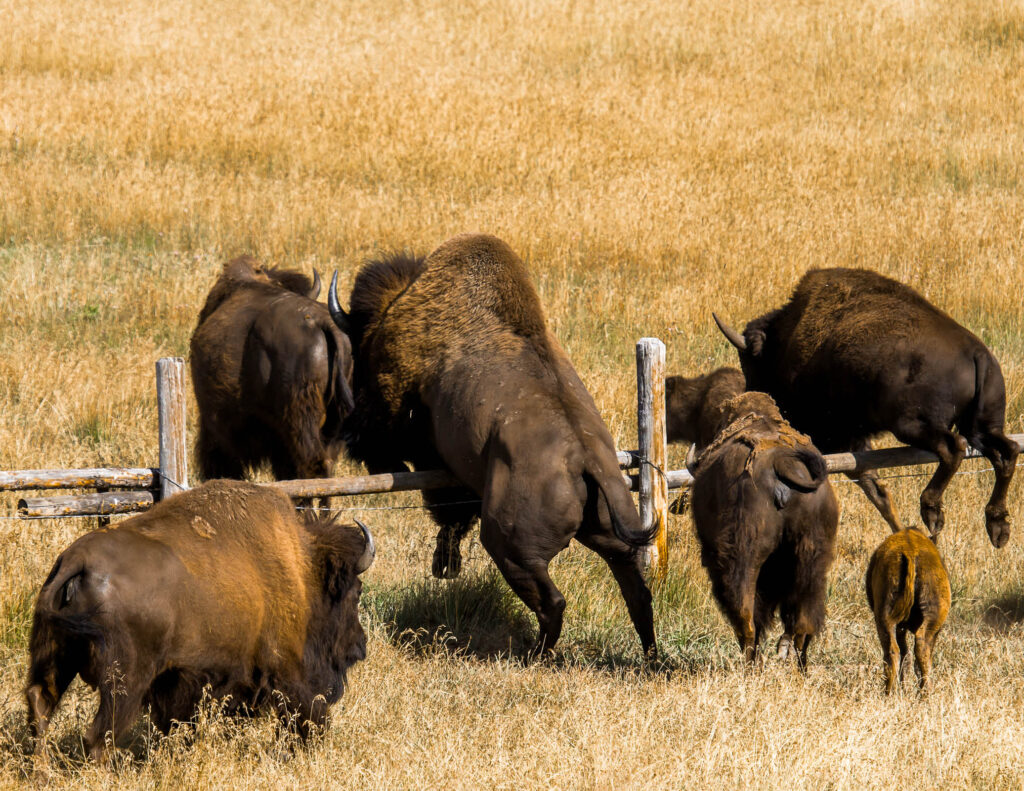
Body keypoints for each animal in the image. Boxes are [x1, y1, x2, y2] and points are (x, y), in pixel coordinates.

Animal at [25, 480, 375, 764]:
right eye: (355, 592)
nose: (360, 645)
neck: (302, 571)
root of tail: (75, 561)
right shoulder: (284, 672)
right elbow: (303, 711)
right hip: (123, 682)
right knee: (99, 736)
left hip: (54, 657)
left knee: (40, 704)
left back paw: (42, 771)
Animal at [328, 233, 657, 659]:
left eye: (362, 348)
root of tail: (586, 460)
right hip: (612, 529)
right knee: (636, 590)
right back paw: (650, 656)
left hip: (511, 547)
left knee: (552, 601)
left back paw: (533, 655)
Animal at [680, 377, 838, 667]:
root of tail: (782, 465)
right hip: (812, 558)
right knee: (805, 617)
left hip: (745, 556)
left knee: (745, 611)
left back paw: (750, 661)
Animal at [713, 267, 1019, 547]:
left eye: (752, 364)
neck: (789, 335)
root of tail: (976, 353)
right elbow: (873, 484)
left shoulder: (836, 435)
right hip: (983, 425)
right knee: (1006, 453)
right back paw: (998, 527)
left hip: (914, 426)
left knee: (953, 449)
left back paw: (932, 512)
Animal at [866, 527, 950, 694]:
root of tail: (911, 553)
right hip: (929, 620)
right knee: (920, 648)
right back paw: (924, 692)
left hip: (884, 618)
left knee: (894, 651)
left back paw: (890, 691)